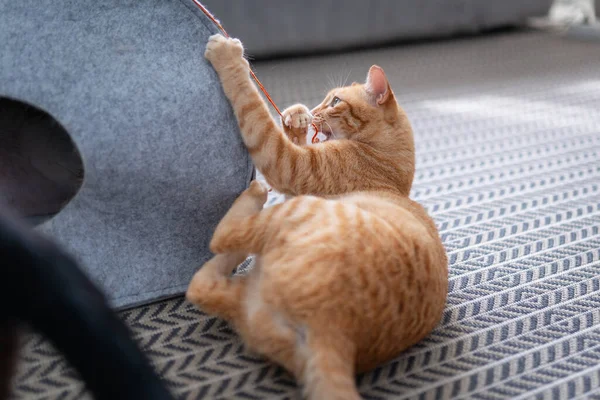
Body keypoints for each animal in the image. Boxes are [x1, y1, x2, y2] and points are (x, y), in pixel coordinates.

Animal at [189, 35, 450, 400]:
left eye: (335, 100)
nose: (313, 111)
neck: (387, 168)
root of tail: (334, 331)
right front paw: (295, 117)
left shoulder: (290, 167)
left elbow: (256, 115)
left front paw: (229, 58)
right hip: (247, 299)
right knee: (201, 286)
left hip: (300, 210)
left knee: (223, 237)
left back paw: (253, 194)